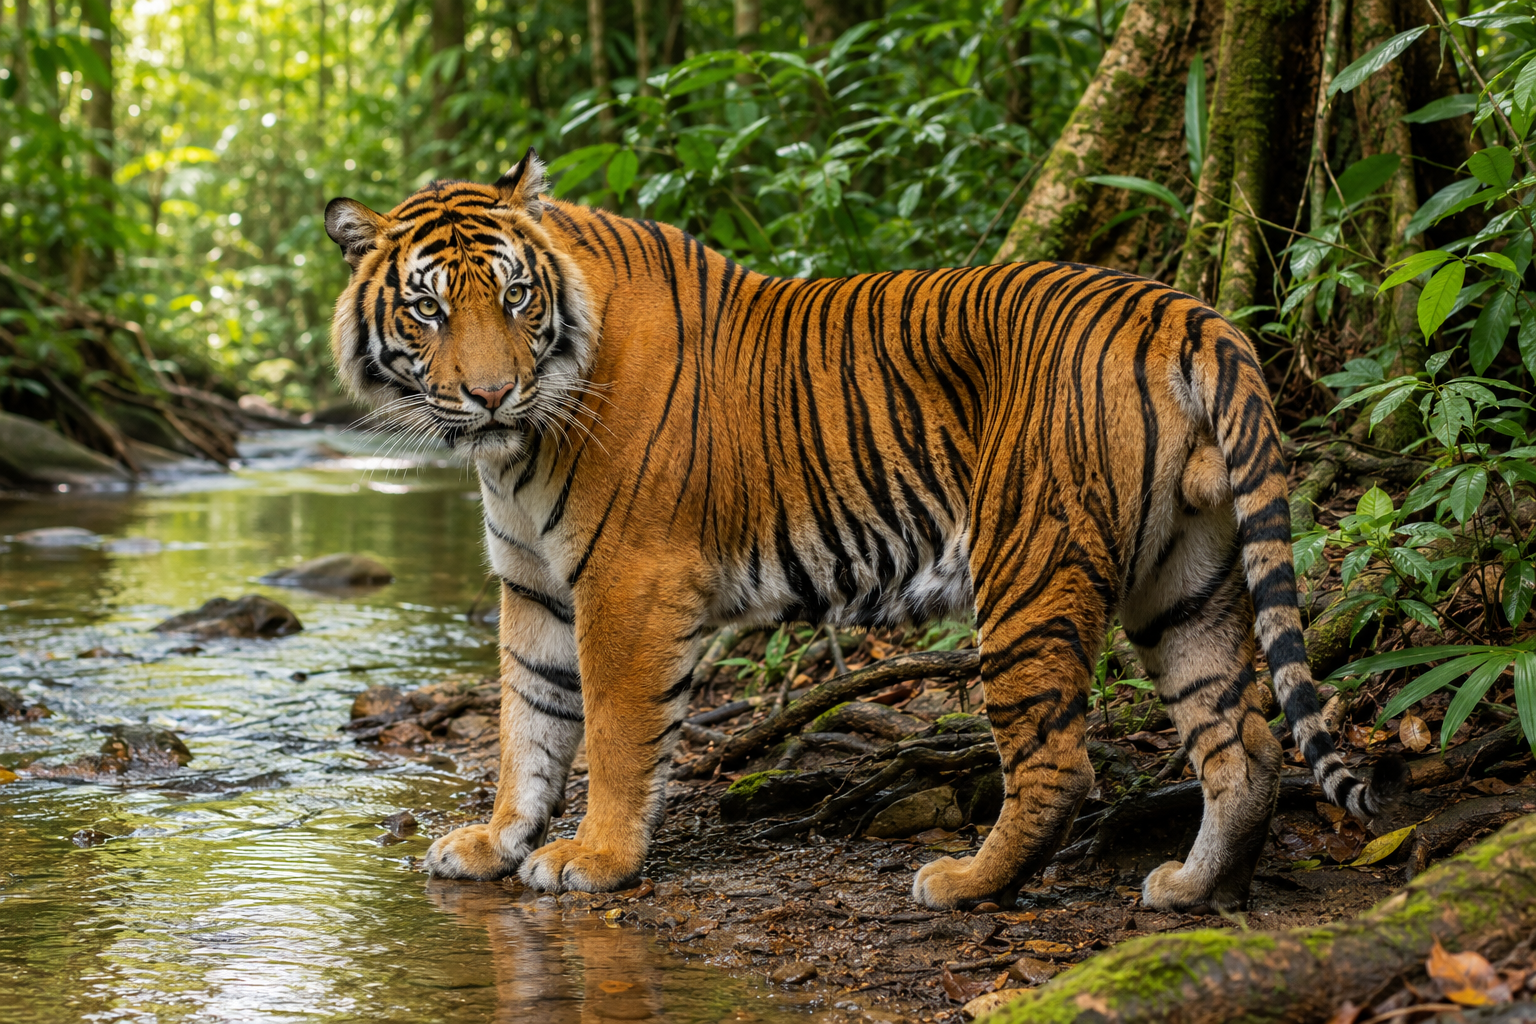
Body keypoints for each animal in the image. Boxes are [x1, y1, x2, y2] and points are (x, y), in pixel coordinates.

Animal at [323, 150, 1403, 913]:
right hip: (1189, 574)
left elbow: (618, 731)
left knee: (1058, 761)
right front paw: (494, 842)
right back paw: (1192, 889)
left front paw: (594, 858)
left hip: (1028, 566)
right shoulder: (536, 584)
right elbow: (529, 723)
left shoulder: (626, 584)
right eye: (427, 310)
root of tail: (1183, 309)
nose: (490, 392)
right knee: (1245, 744)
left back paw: (964, 884)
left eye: (514, 296)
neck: (515, 448)